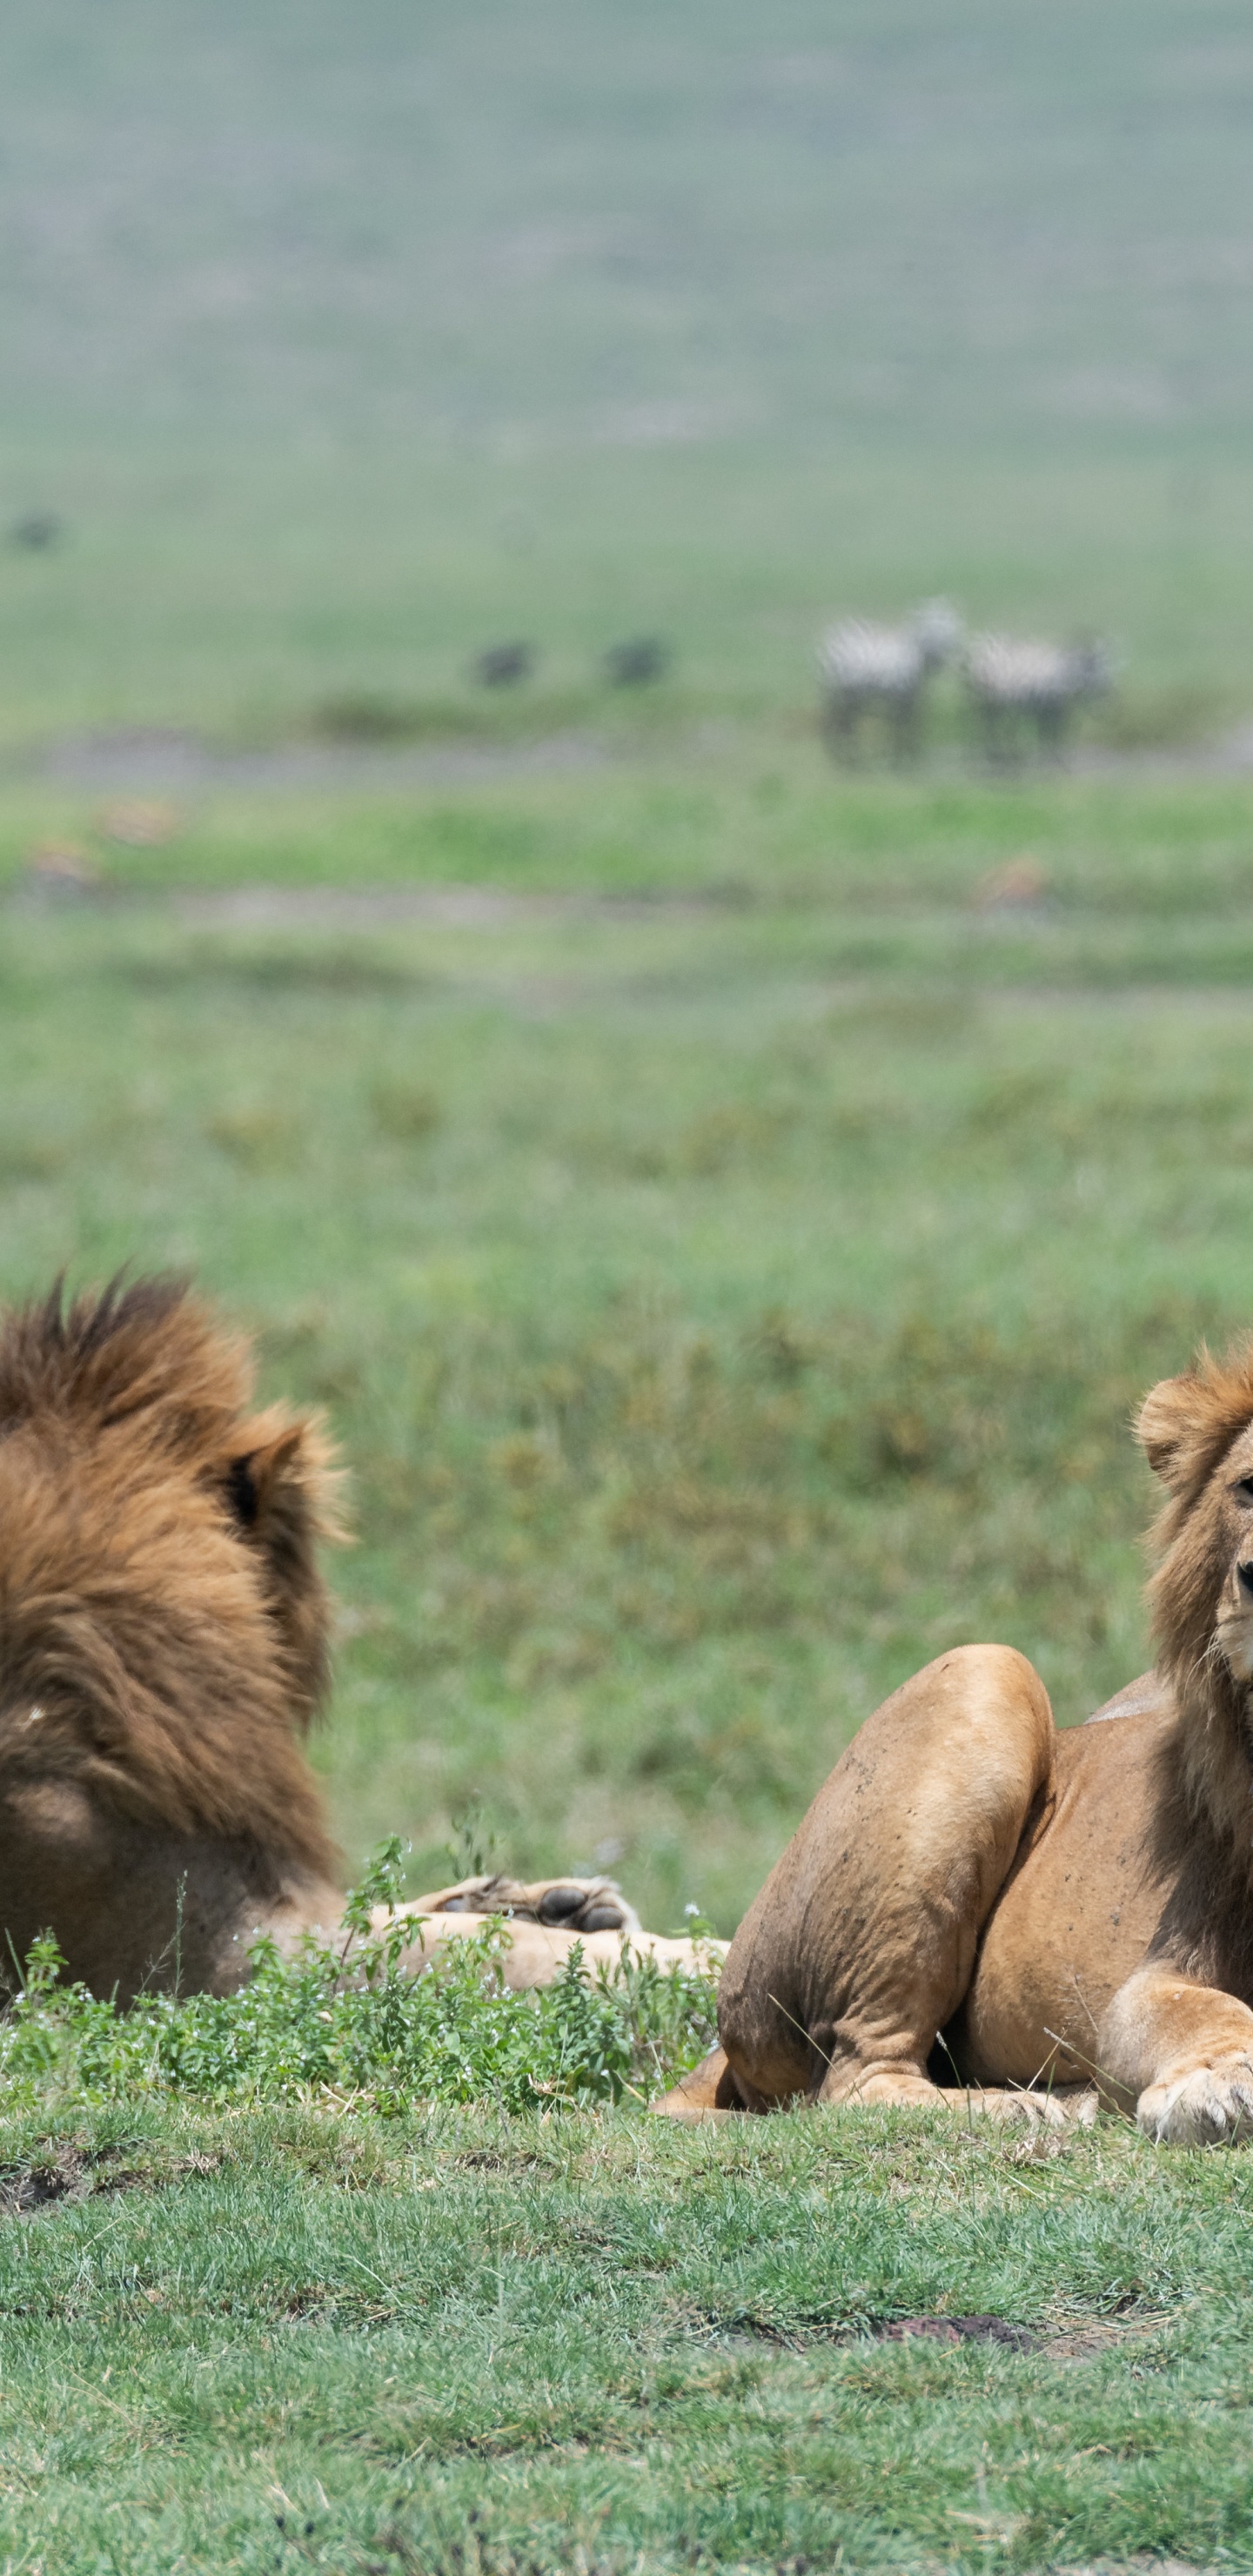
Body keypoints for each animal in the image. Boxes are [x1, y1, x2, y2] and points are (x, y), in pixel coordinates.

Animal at [657, 1336, 1253, 2145]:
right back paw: (1017, 2108)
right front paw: (1218, 2085)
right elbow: (1205, 2012)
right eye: (1249, 1488)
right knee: (853, 2077)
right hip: (984, 1673)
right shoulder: (1156, 1974)